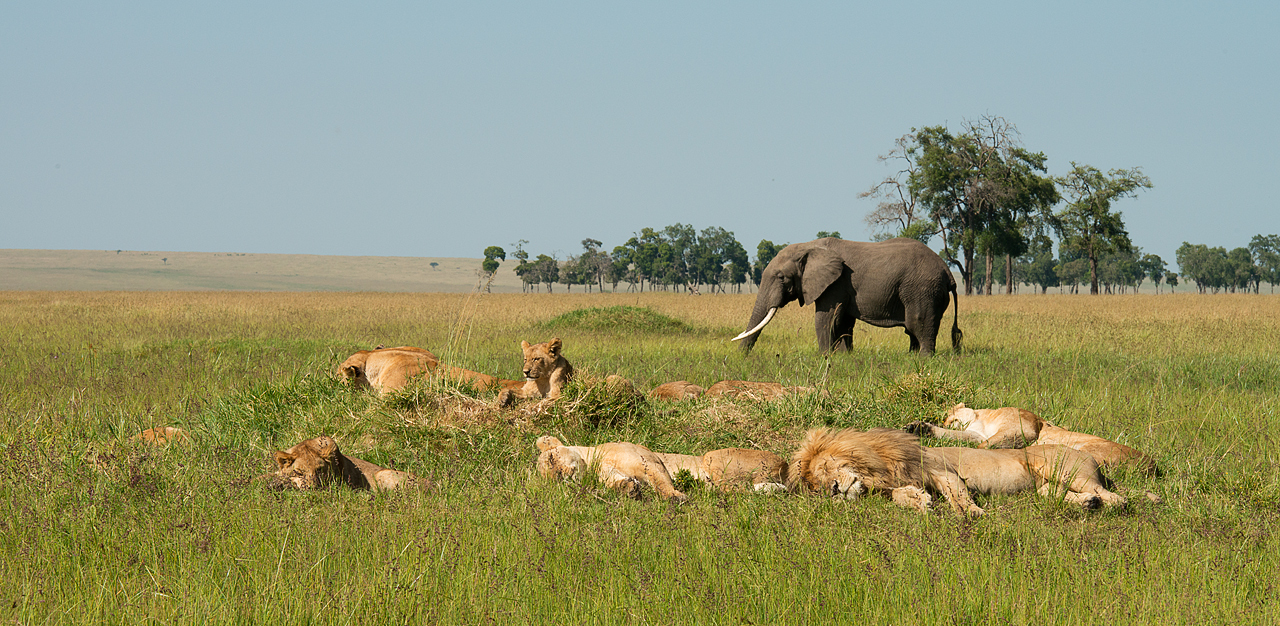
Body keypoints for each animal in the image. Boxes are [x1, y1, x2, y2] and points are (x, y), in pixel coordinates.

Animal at [532, 437, 691, 499]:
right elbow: (613, 481)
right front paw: (627, 487)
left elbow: (660, 481)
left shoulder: (648, 462)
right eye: (554, 480)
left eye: (551, 458)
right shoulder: (606, 472)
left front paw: (674, 496)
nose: (559, 475)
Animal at [732, 236, 962, 353]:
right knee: (913, 330)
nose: (742, 357)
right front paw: (844, 357)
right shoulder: (843, 287)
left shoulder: (836, 283)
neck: (809, 247)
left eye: (781, 278)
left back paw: (923, 359)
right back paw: (912, 357)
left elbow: (825, 319)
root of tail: (948, 272)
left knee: (918, 324)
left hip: (923, 290)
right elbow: (842, 321)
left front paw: (826, 357)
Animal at [783, 425, 1126, 517]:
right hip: (1045, 486)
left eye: (827, 467)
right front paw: (920, 502)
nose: (835, 490)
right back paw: (1088, 504)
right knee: (1058, 495)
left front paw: (971, 512)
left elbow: (956, 493)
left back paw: (1107, 503)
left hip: (1062, 469)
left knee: (1116, 496)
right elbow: (899, 496)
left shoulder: (940, 471)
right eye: (817, 486)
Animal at [901, 401, 1162, 471]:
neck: (981, 420)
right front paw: (920, 428)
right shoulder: (974, 434)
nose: (947, 419)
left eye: (949, 414)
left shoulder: (1024, 427)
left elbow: (986, 445)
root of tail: (1152, 466)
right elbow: (960, 436)